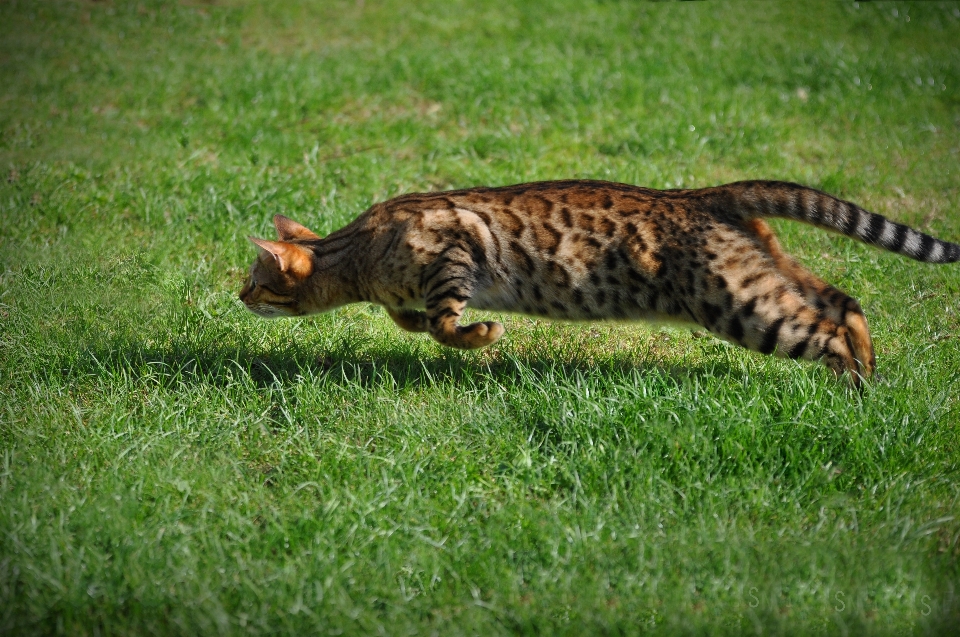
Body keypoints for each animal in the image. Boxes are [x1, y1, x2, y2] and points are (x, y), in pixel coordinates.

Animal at [240, 181, 960, 386]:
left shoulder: (454, 251)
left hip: (740, 304)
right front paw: (415, 322)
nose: (238, 296)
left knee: (826, 328)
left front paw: (483, 333)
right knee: (844, 299)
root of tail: (703, 195)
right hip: (767, 275)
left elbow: (446, 324)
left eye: (255, 277)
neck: (358, 252)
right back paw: (871, 367)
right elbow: (412, 320)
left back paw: (854, 387)